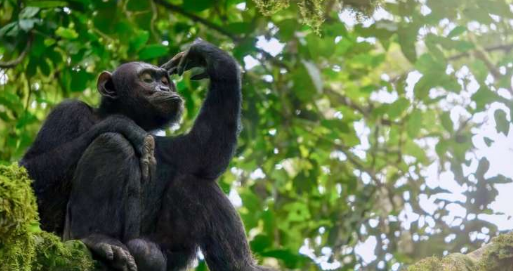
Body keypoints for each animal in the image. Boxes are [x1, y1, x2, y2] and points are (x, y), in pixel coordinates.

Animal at [61, 39, 272, 270]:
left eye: (163, 80)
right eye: (147, 79)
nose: (163, 87)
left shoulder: (163, 145)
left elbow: (200, 153)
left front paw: (208, 56)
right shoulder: (67, 112)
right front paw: (123, 124)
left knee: (192, 185)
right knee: (113, 143)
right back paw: (98, 240)